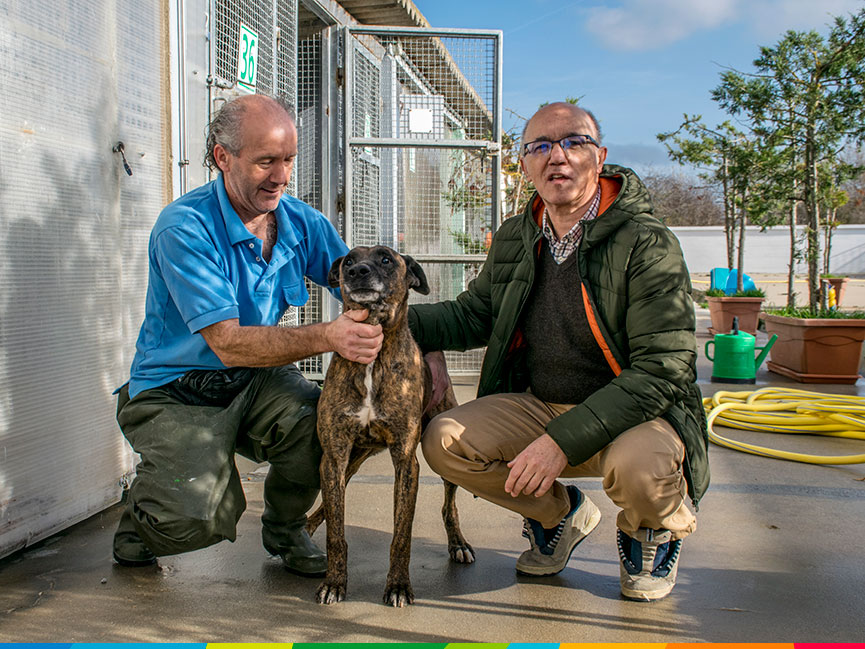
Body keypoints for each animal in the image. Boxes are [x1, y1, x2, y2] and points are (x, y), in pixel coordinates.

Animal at [308, 246, 476, 604]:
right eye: (347, 260)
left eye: (386, 259)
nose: (357, 271)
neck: (373, 355)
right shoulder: (334, 456)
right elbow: (336, 531)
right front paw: (334, 583)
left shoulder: (406, 462)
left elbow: (402, 534)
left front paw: (398, 586)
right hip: (351, 461)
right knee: (332, 502)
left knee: (449, 505)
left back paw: (458, 543)